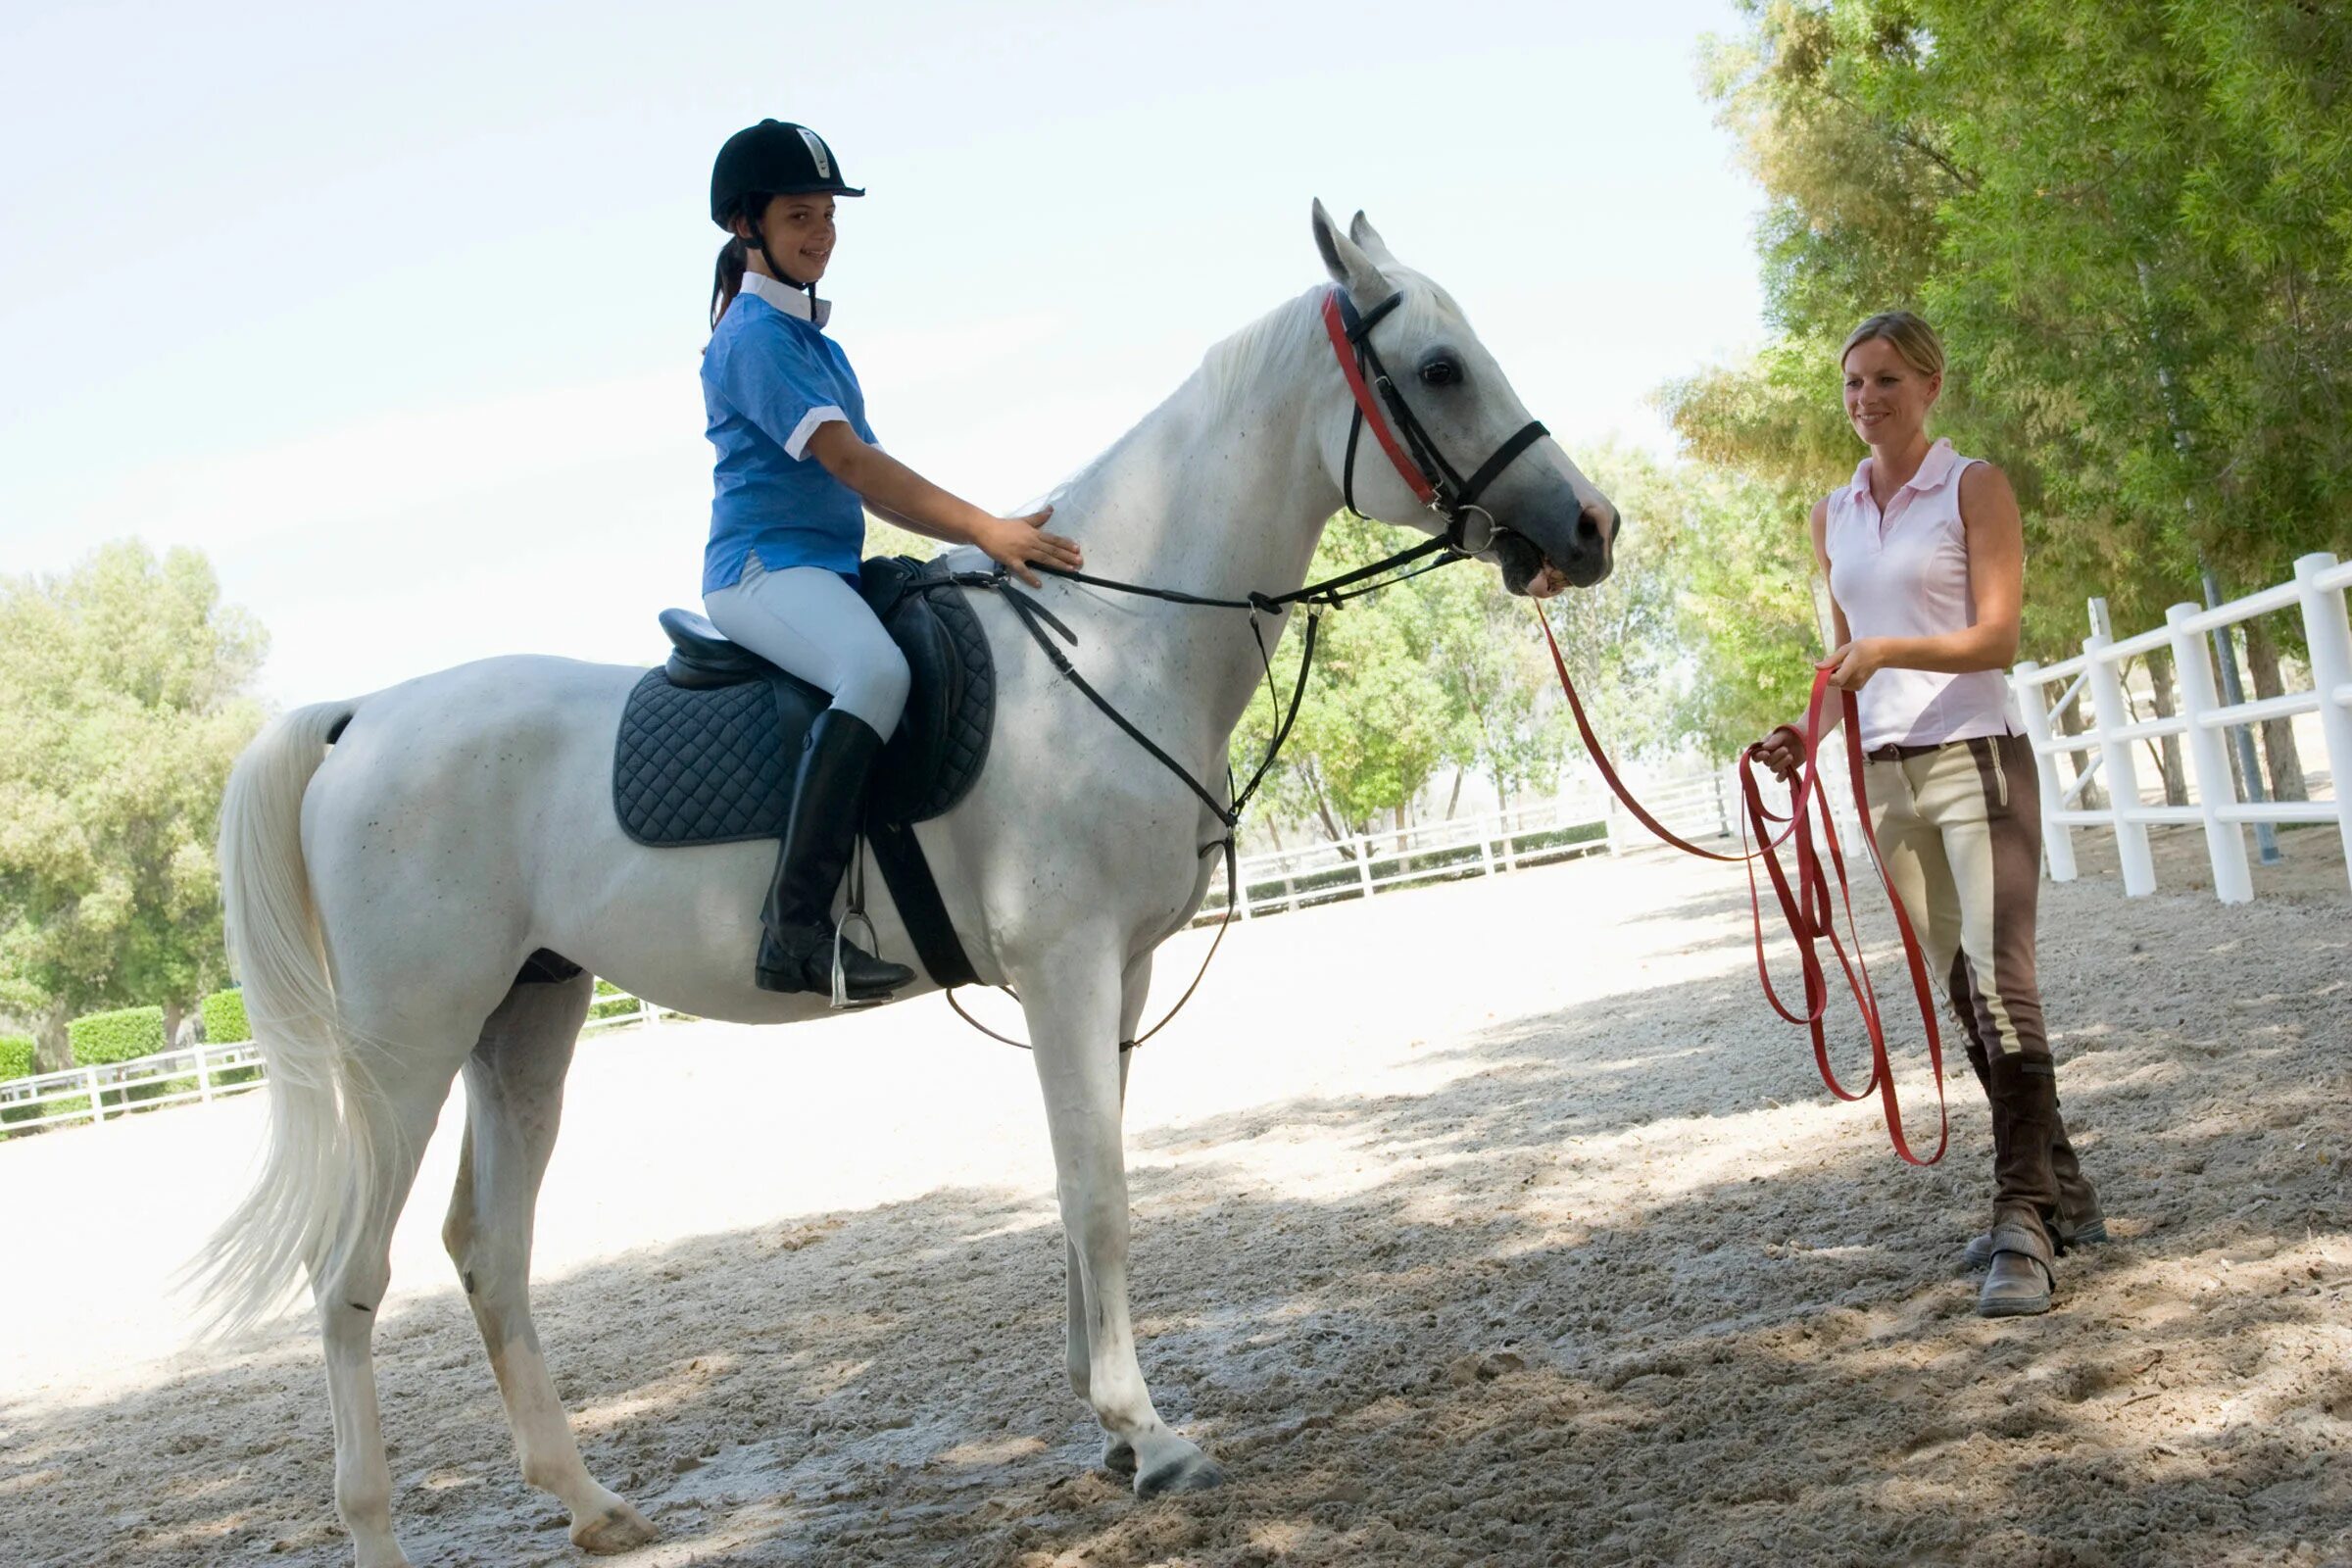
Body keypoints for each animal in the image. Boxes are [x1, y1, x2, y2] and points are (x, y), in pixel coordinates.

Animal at [202, 205, 1618, 1568]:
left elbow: (1084, 1179)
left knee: (489, 1255)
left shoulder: (1119, 969)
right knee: (348, 1276)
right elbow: (1099, 1191)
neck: (1118, 632)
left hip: (526, 1022)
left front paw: (1110, 1428)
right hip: (409, 1049)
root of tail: (362, 718)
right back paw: (376, 1530)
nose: (1591, 528)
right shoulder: (1065, 964)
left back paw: (591, 1504)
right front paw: (1150, 1435)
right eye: (1439, 368)